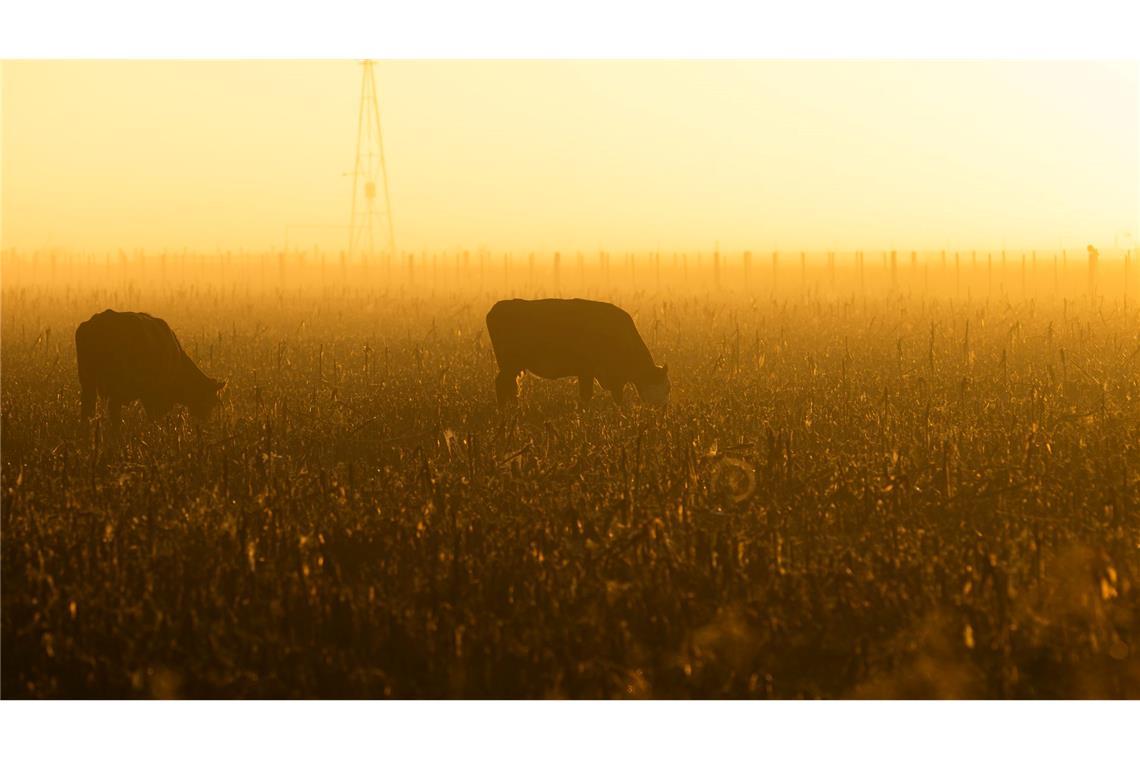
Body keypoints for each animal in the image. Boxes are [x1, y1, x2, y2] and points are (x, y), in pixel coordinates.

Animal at [76, 309, 226, 428]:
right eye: (211, 400)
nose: (206, 420)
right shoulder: (155, 395)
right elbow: (154, 416)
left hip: (88, 383)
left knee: (87, 410)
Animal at [483, 296, 665, 407]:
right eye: (665, 387)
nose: (662, 408)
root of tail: (497, 307)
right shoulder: (587, 371)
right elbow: (586, 395)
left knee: (510, 386)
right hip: (509, 364)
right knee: (502, 384)